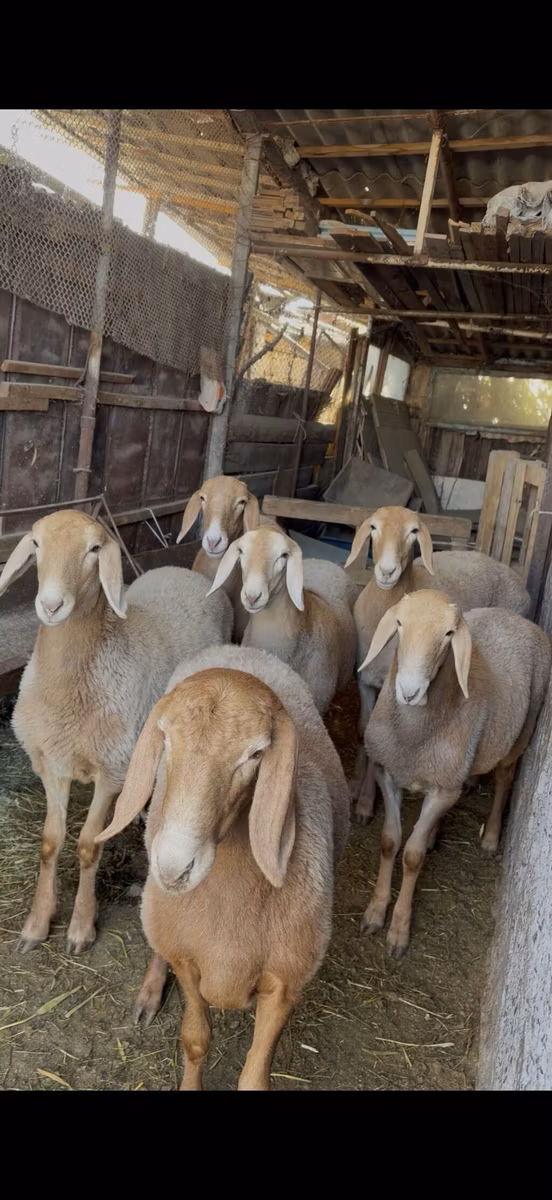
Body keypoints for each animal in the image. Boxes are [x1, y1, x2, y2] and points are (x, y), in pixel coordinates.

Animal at [0, 509, 233, 956]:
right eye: (35, 543)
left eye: (94, 549)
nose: (50, 605)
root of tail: (185, 572)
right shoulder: (51, 761)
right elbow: (51, 841)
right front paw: (37, 925)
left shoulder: (112, 769)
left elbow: (89, 844)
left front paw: (80, 927)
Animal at [95, 643, 350, 1090]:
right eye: (165, 737)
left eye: (257, 752)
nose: (174, 867)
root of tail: (235, 647)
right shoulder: (187, 963)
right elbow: (195, 1040)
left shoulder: (283, 984)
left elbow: (253, 1076)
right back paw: (149, 993)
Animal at [345, 505, 531, 823]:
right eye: (373, 527)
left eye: (413, 532)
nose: (387, 571)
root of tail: (517, 578)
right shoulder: (366, 681)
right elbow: (363, 729)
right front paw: (357, 784)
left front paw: (366, 802)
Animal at [358, 588, 551, 959]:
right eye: (399, 623)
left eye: (448, 634)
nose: (409, 691)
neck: (413, 735)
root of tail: (517, 619)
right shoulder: (390, 773)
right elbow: (389, 842)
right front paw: (375, 911)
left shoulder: (442, 790)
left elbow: (412, 857)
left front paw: (399, 929)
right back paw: (437, 831)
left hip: (521, 733)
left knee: (504, 779)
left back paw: (490, 837)